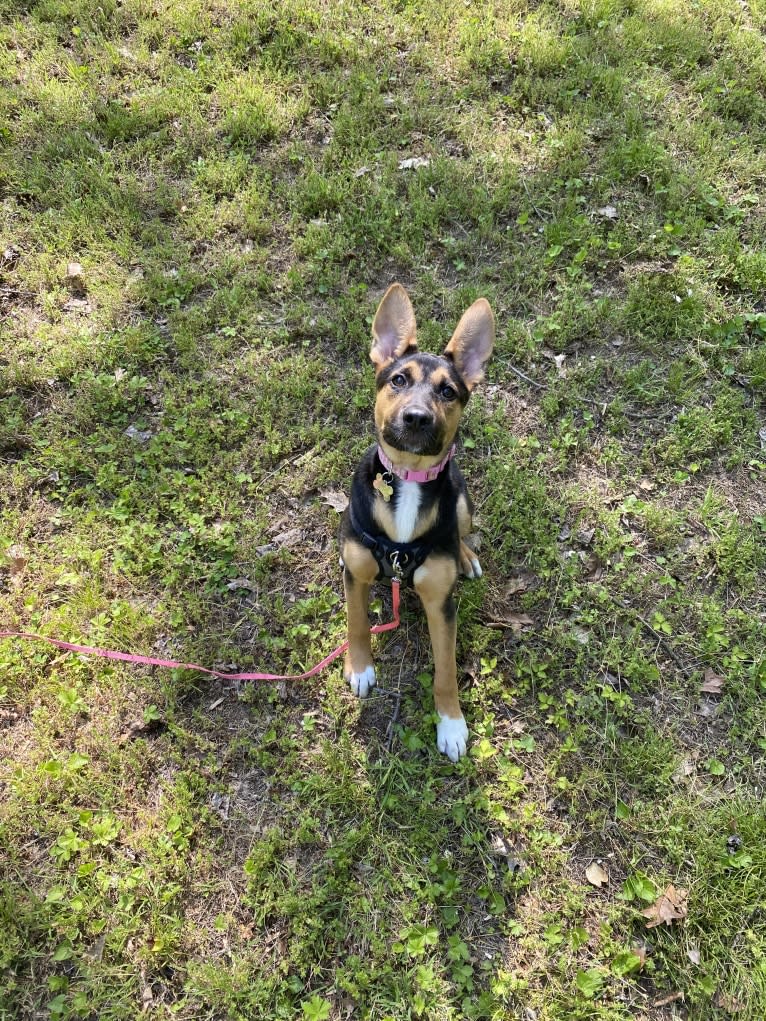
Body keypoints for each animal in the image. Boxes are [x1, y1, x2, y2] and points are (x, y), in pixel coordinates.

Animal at [341, 283, 498, 763]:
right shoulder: (355, 570)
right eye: (398, 380)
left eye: (448, 391)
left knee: (462, 529)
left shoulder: (440, 602)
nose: (416, 418)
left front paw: (451, 724)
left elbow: (445, 669)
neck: (408, 479)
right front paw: (360, 668)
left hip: (463, 498)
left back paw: (466, 556)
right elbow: (357, 621)